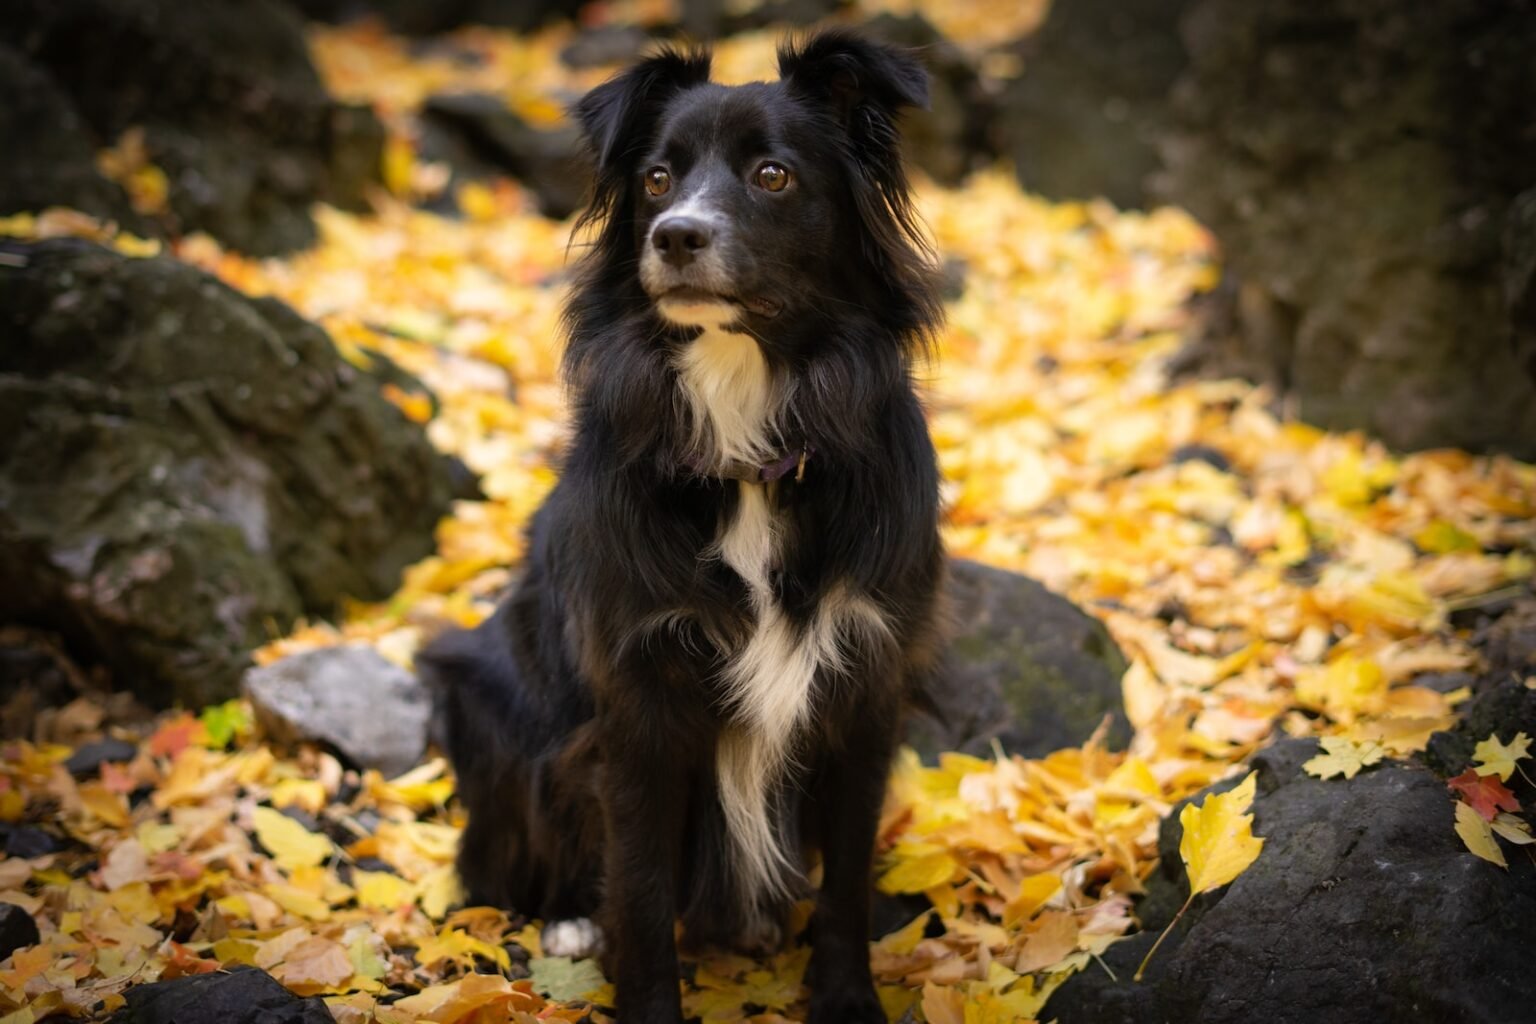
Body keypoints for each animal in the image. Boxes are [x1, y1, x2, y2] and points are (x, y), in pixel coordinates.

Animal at [423, 32, 946, 1024]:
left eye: (774, 175)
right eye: (657, 179)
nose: (675, 237)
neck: (746, 443)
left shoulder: (866, 683)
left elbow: (849, 880)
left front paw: (846, 998)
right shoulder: (638, 702)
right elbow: (640, 891)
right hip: (486, 691)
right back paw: (567, 922)